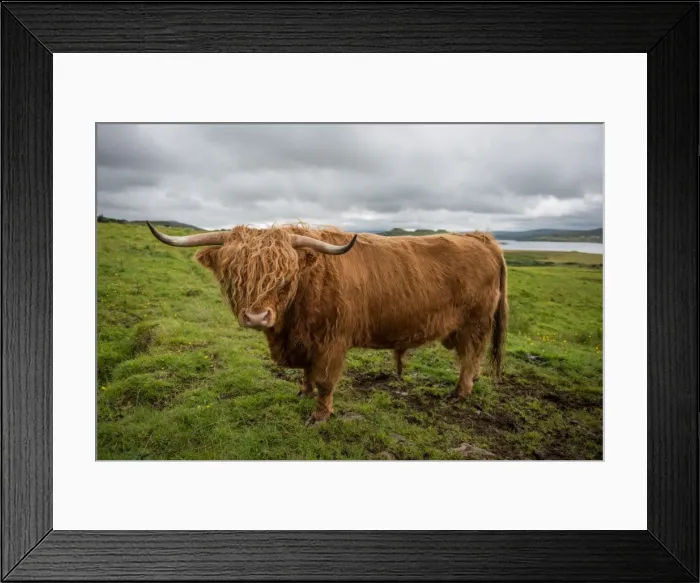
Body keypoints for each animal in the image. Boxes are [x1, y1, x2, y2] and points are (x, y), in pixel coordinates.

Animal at [147, 221, 508, 425]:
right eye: (234, 273)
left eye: (284, 276)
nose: (256, 317)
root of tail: (481, 238)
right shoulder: (304, 341)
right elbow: (307, 373)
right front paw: (303, 393)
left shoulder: (332, 341)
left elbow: (324, 380)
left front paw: (320, 415)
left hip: (474, 323)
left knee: (469, 357)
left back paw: (460, 393)